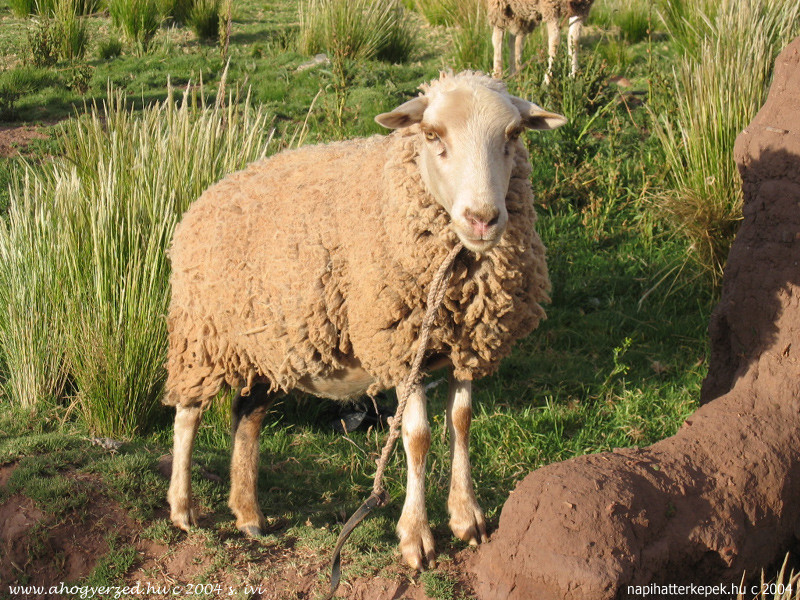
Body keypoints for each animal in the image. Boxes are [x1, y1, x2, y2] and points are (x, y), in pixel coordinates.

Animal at [162, 68, 564, 568]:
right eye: (432, 135)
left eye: (513, 134)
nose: (482, 220)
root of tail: (207, 197)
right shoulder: (402, 347)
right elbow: (417, 437)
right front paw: (416, 537)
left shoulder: (464, 343)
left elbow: (462, 420)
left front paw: (466, 517)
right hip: (202, 335)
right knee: (187, 415)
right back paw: (182, 509)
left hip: (270, 345)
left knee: (246, 417)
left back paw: (248, 514)